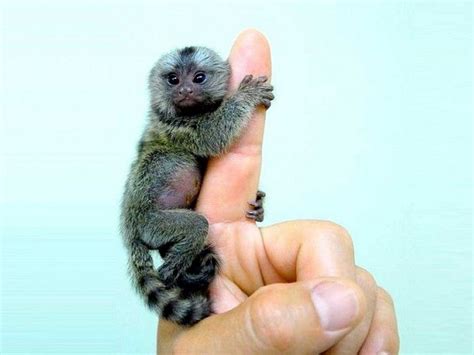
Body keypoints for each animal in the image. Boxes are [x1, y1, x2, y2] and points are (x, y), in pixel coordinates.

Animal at [121, 46, 274, 326]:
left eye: (199, 78)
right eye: (173, 80)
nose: (184, 91)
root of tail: (129, 233)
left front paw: (259, 205)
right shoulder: (176, 127)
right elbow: (212, 135)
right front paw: (246, 95)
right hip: (151, 225)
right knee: (196, 224)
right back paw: (175, 265)